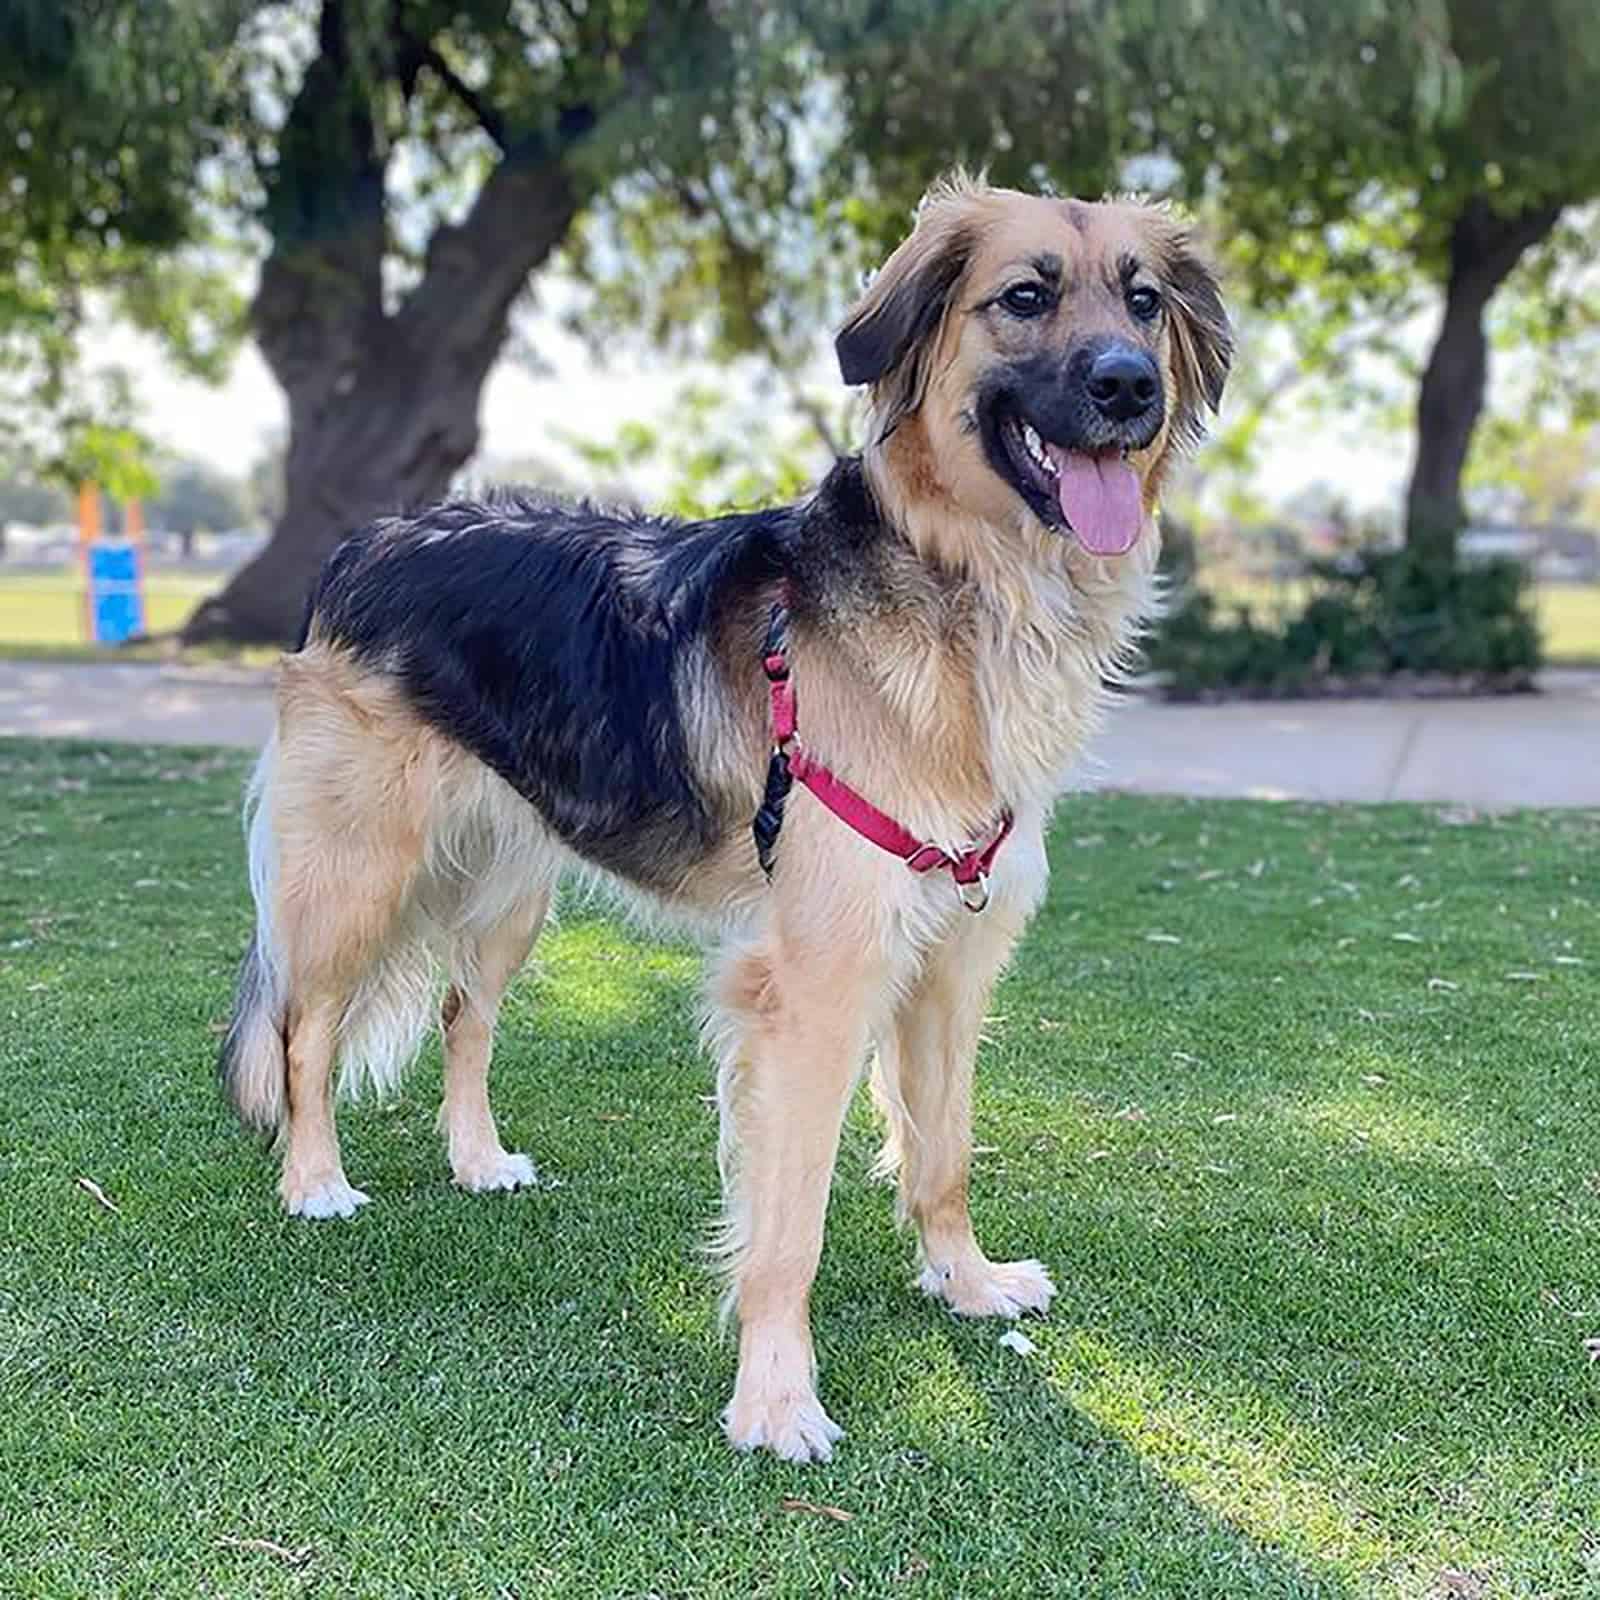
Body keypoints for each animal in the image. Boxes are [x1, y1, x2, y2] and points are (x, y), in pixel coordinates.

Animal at [219, 175, 1228, 1465]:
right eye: (1023, 297)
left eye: (1143, 303)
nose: (1129, 387)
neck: (964, 587)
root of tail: (364, 540)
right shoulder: (814, 985)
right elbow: (787, 1222)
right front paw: (776, 1399)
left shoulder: (951, 957)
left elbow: (943, 1151)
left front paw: (963, 1282)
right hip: (356, 870)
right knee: (305, 1029)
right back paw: (313, 1179)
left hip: (509, 891)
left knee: (460, 1013)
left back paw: (477, 1159)